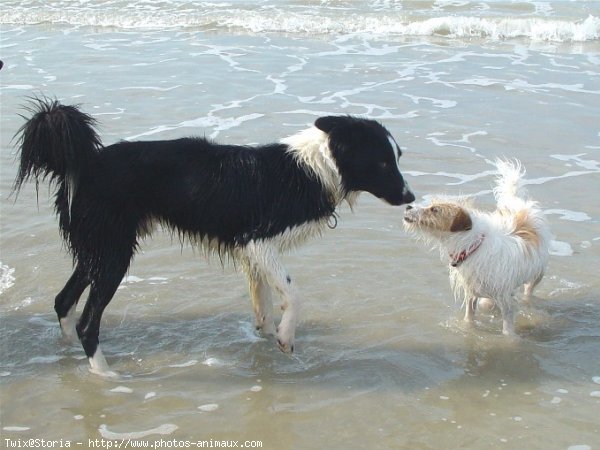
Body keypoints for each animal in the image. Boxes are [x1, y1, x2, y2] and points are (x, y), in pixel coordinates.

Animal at [15, 98, 418, 376]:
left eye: (397, 157)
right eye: (383, 162)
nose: (411, 197)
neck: (314, 169)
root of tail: (83, 163)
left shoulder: (251, 253)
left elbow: (264, 304)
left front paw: (264, 339)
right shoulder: (258, 239)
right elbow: (293, 293)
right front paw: (285, 338)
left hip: (97, 250)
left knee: (63, 300)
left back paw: (69, 354)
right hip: (112, 254)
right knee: (87, 320)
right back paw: (106, 376)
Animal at [406, 160, 552, 336]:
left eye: (435, 210)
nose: (408, 207)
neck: (473, 246)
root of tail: (519, 203)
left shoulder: (505, 301)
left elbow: (507, 326)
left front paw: (510, 339)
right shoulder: (471, 291)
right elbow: (469, 315)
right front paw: (468, 328)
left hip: (538, 273)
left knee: (528, 291)